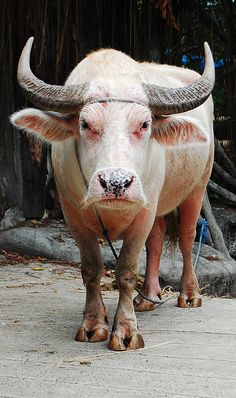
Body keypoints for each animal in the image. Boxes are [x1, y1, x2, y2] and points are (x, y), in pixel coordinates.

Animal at [10, 36, 214, 348]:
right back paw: (149, 297)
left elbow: (127, 270)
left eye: (145, 124)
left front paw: (126, 330)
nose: (116, 183)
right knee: (156, 240)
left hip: (198, 187)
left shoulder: (143, 212)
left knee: (187, 237)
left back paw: (189, 294)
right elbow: (91, 269)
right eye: (85, 124)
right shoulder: (73, 216)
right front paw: (94, 323)